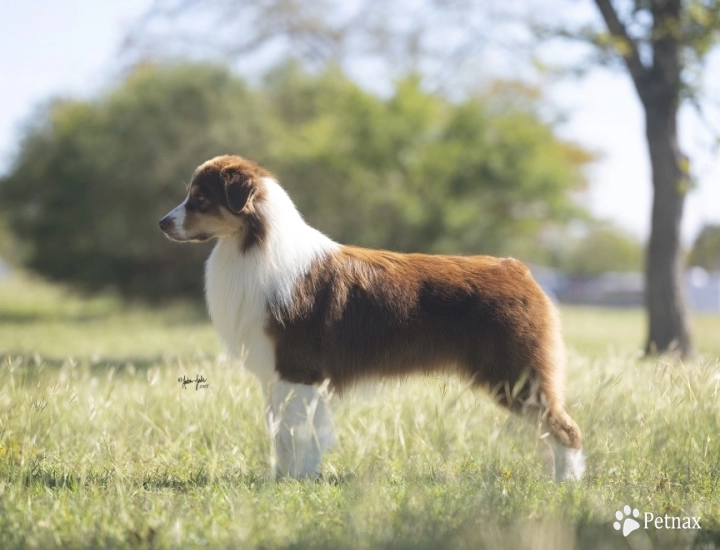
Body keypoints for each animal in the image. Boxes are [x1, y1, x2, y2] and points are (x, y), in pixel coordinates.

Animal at [159, 155, 584, 484]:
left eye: (200, 198)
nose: (162, 223)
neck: (251, 244)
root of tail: (519, 269)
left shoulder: (299, 370)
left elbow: (297, 433)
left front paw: (296, 480)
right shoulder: (277, 377)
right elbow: (281, 432)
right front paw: (281, 478)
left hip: (516, 373)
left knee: (566, 428)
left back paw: (567, 482)